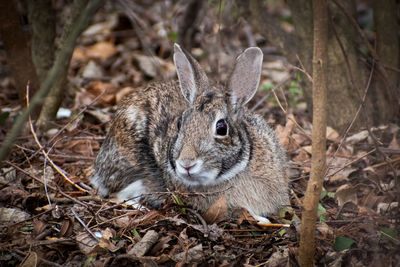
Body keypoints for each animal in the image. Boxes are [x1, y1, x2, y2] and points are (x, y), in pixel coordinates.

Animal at [92, 44, 290, 224]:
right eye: (180, 123)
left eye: (221, 128)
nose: (186, 164)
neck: (237, 169)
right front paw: (261, 219)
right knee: (116, 195)